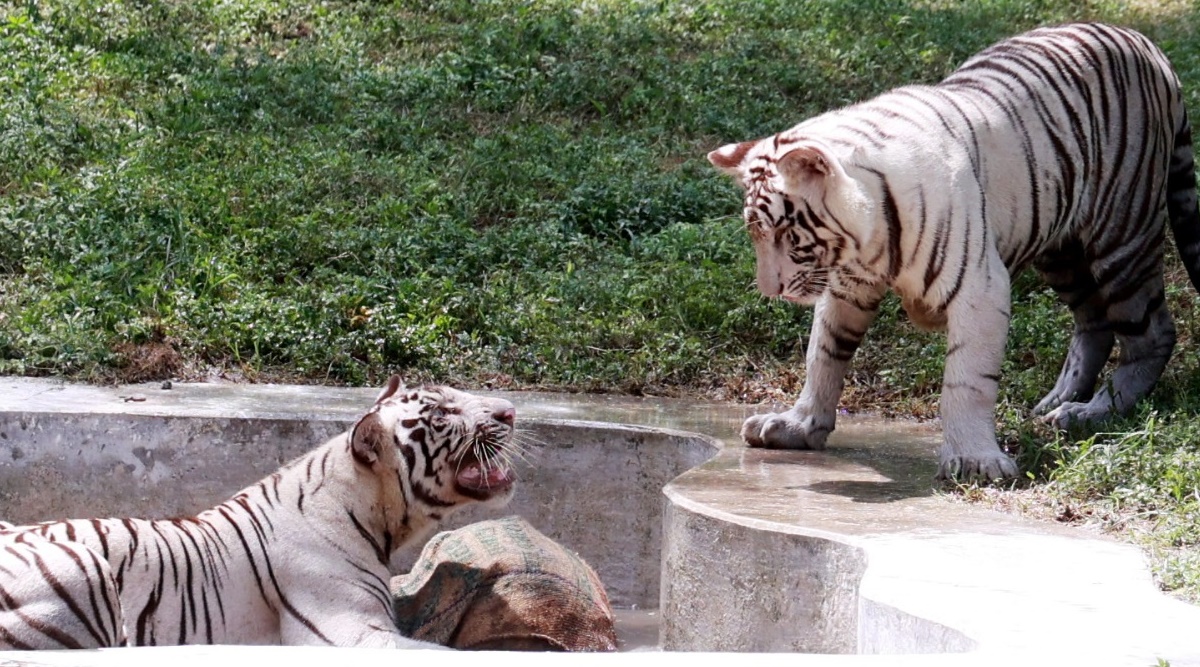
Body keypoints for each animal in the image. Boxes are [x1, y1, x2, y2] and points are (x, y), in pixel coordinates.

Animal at [705, 22, 1195, 479]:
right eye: (755, 234)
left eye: (787, 232)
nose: (770, 289)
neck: (869, 241)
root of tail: (1144, 42)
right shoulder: (847, 286)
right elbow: (823, 355)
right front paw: (798, 425)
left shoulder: (981, 288)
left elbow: (967, 381)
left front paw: (975, 460)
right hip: (1060, 250)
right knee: (1094, 323)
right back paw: (1059, 400)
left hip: (1122, 237)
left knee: (1151, 333)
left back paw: (1094, 412)